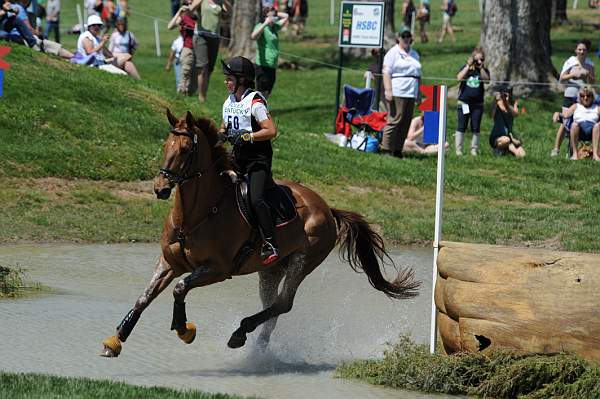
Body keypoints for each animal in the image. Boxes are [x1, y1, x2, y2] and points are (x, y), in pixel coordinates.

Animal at [99, 110, 422, 360]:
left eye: (186, 150)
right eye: (166, 144)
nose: (160, 188)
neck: (195, 215)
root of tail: (326, 207)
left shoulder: (216, 270)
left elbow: (180, 288)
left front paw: (183, 330)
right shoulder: (169, 263)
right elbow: (144, 297)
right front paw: (116, 340)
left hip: (303, 260)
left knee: (283, 304)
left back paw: (240, 333)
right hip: (270, 270)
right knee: (273, 308)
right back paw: (258, 346)